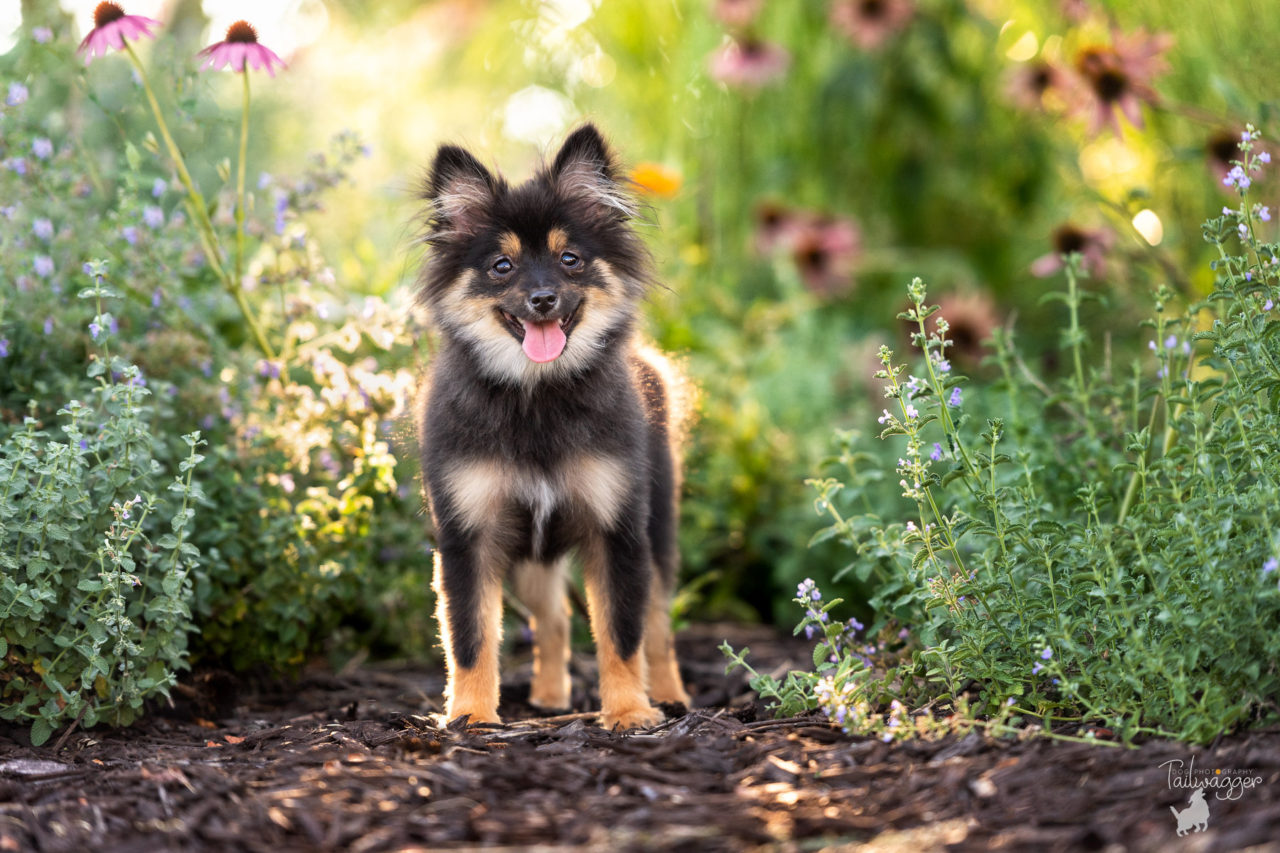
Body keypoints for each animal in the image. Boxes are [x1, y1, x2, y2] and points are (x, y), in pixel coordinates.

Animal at [412, 122, 691, 727]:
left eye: (570, 259)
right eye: (502, 266)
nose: (543, 299)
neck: (536, 396)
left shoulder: (618, 532)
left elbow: (621, 632)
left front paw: (629, 711)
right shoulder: (470, 536)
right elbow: (470, 637)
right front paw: (470, 716)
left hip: (658, 529)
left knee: (658, 626)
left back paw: (669, 695)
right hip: (527, 558)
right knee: (555, 617)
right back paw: (548, 696)